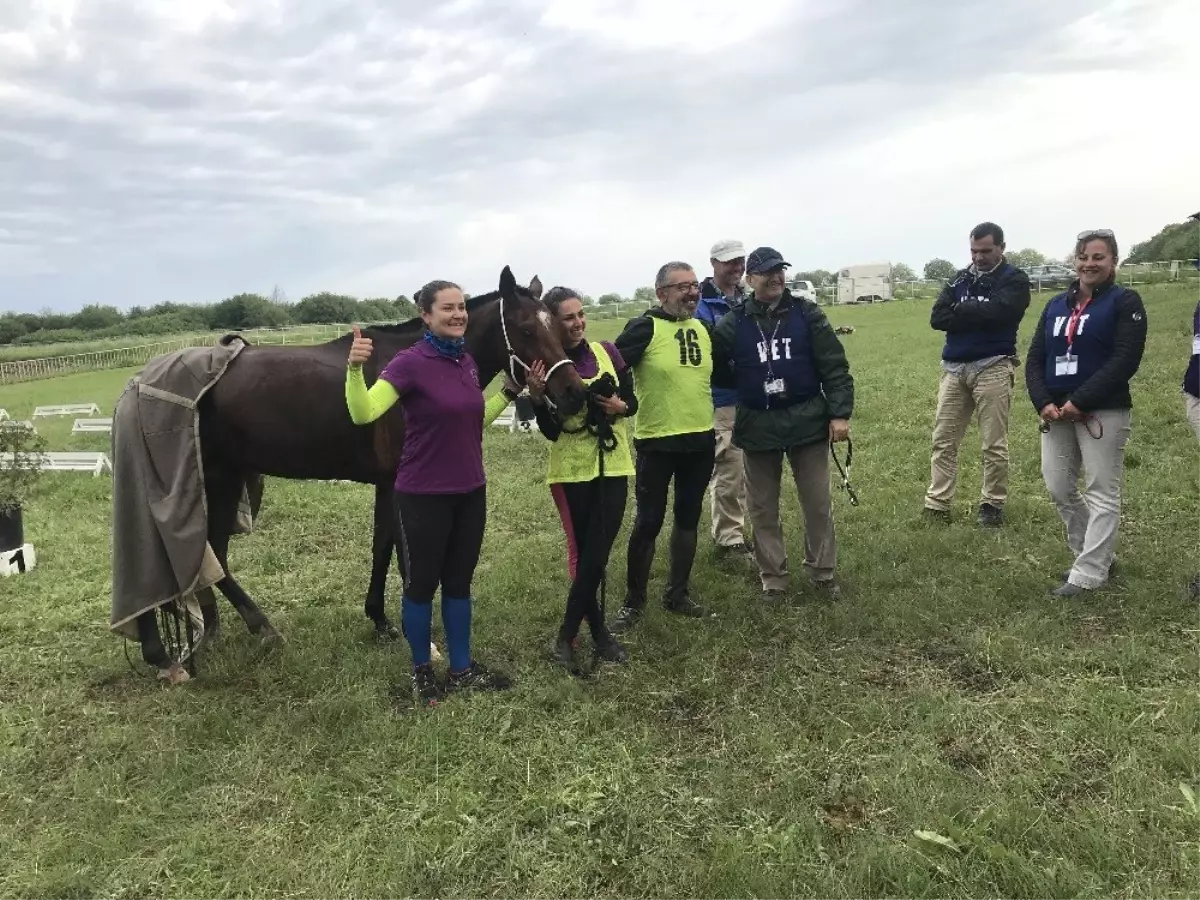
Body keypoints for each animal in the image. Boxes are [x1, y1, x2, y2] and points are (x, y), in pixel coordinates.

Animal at [136, 267, 585, 681]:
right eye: (526, 329)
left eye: (556, 324)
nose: (574, 392)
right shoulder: (402, 487)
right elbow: (405, 557)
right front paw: (416, 635)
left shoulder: (386, 485)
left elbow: (381, 548)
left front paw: (381, 621)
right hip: (213, 478)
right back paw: (184, 648)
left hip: (227, 478)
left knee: (212, 553)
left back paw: (224, 630)